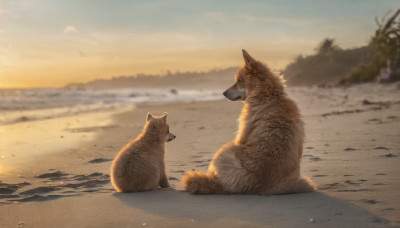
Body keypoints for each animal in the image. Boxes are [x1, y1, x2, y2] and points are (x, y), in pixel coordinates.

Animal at [183, 50, 318, 194]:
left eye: (239, 81)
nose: (223, 93)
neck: (268, 95)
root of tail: (259, 186)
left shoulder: (241, 135)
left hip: (223, 150)